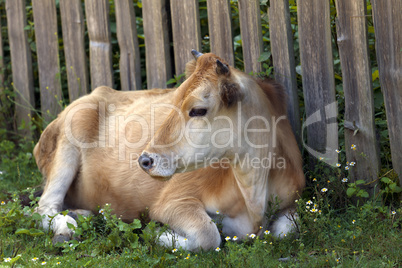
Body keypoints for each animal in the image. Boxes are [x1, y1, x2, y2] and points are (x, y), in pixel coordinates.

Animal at [33, 50, 304, 251]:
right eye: (172, 102)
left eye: (198, 109)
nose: (144, 160)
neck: (254, 193)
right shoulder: (174, 199)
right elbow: (208, 234)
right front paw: (156, 233)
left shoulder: (294, 200)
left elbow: (288, 229)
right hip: (66, 147)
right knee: (44, 206)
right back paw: (66, 228)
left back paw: (82, 214)